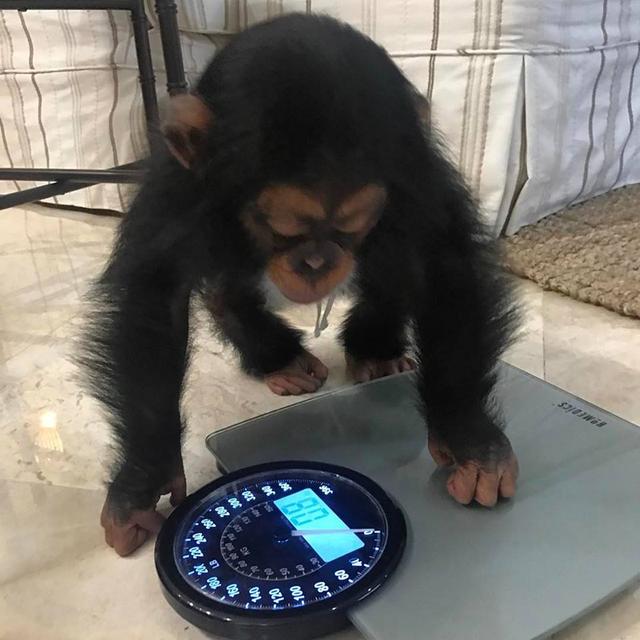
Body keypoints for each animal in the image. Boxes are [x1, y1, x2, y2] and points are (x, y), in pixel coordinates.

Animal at [79, 13, 520, 557]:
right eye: (284, 228)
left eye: (349, 227)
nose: (315, 261)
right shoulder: (180, 189)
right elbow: (155, 300)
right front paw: (143, 478)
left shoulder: (416, 175)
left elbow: (443, 269)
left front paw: (470, 440)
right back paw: (278, 357)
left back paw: (375, 350)